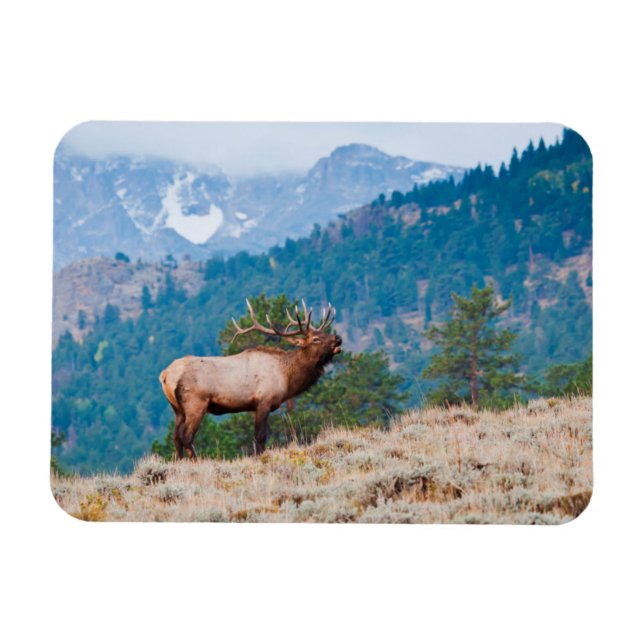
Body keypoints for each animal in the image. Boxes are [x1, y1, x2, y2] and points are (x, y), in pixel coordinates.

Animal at [159, 299, 342, 458]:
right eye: (315, 339)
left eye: (324, 332)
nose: (338, 338)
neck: (286, 378)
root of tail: (166, 374)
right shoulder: (264, 401)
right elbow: (260, 436)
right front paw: (260, 457)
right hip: (196, 403)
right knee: (186, 436)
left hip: (177, 409)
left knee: (175, 437)